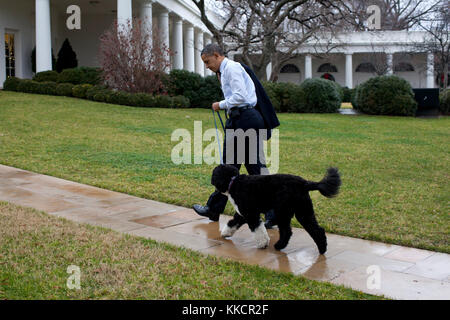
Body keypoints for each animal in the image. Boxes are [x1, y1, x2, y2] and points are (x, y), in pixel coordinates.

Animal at [212, 165, 342, 252]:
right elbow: (233, 222)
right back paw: (322, 248)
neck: (233, 182)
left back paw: (279, 246)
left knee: (287, 231)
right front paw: (225, 233)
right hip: (303, 211)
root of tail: (304, 183)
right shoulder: (243, 214)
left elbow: (258, 230)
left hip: (283, 212)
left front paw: (263, 244)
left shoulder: (251, 214)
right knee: (317, 230)